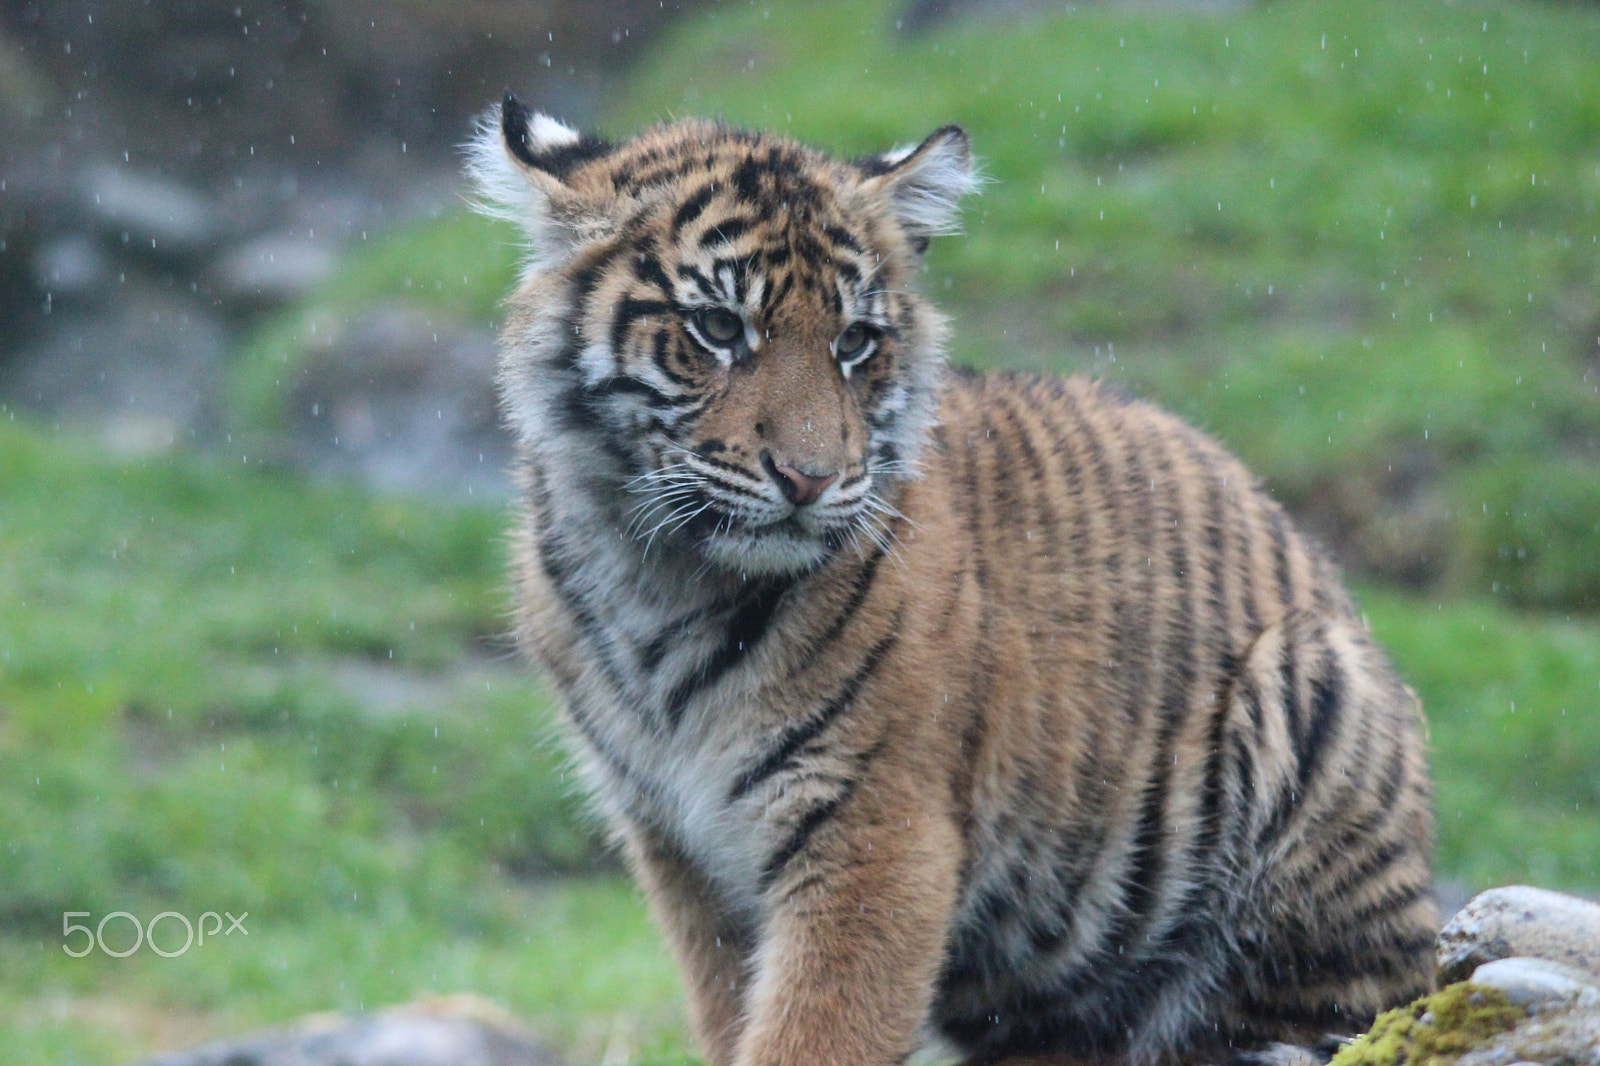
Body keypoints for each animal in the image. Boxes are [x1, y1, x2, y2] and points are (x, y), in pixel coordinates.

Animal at [466, 94, 1437, 1066]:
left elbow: (816, 1033)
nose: (811, 478)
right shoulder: (680, 848)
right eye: (718, 328)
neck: (660, 576)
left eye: (855, 342)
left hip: (1313, 723)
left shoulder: (874, 834)